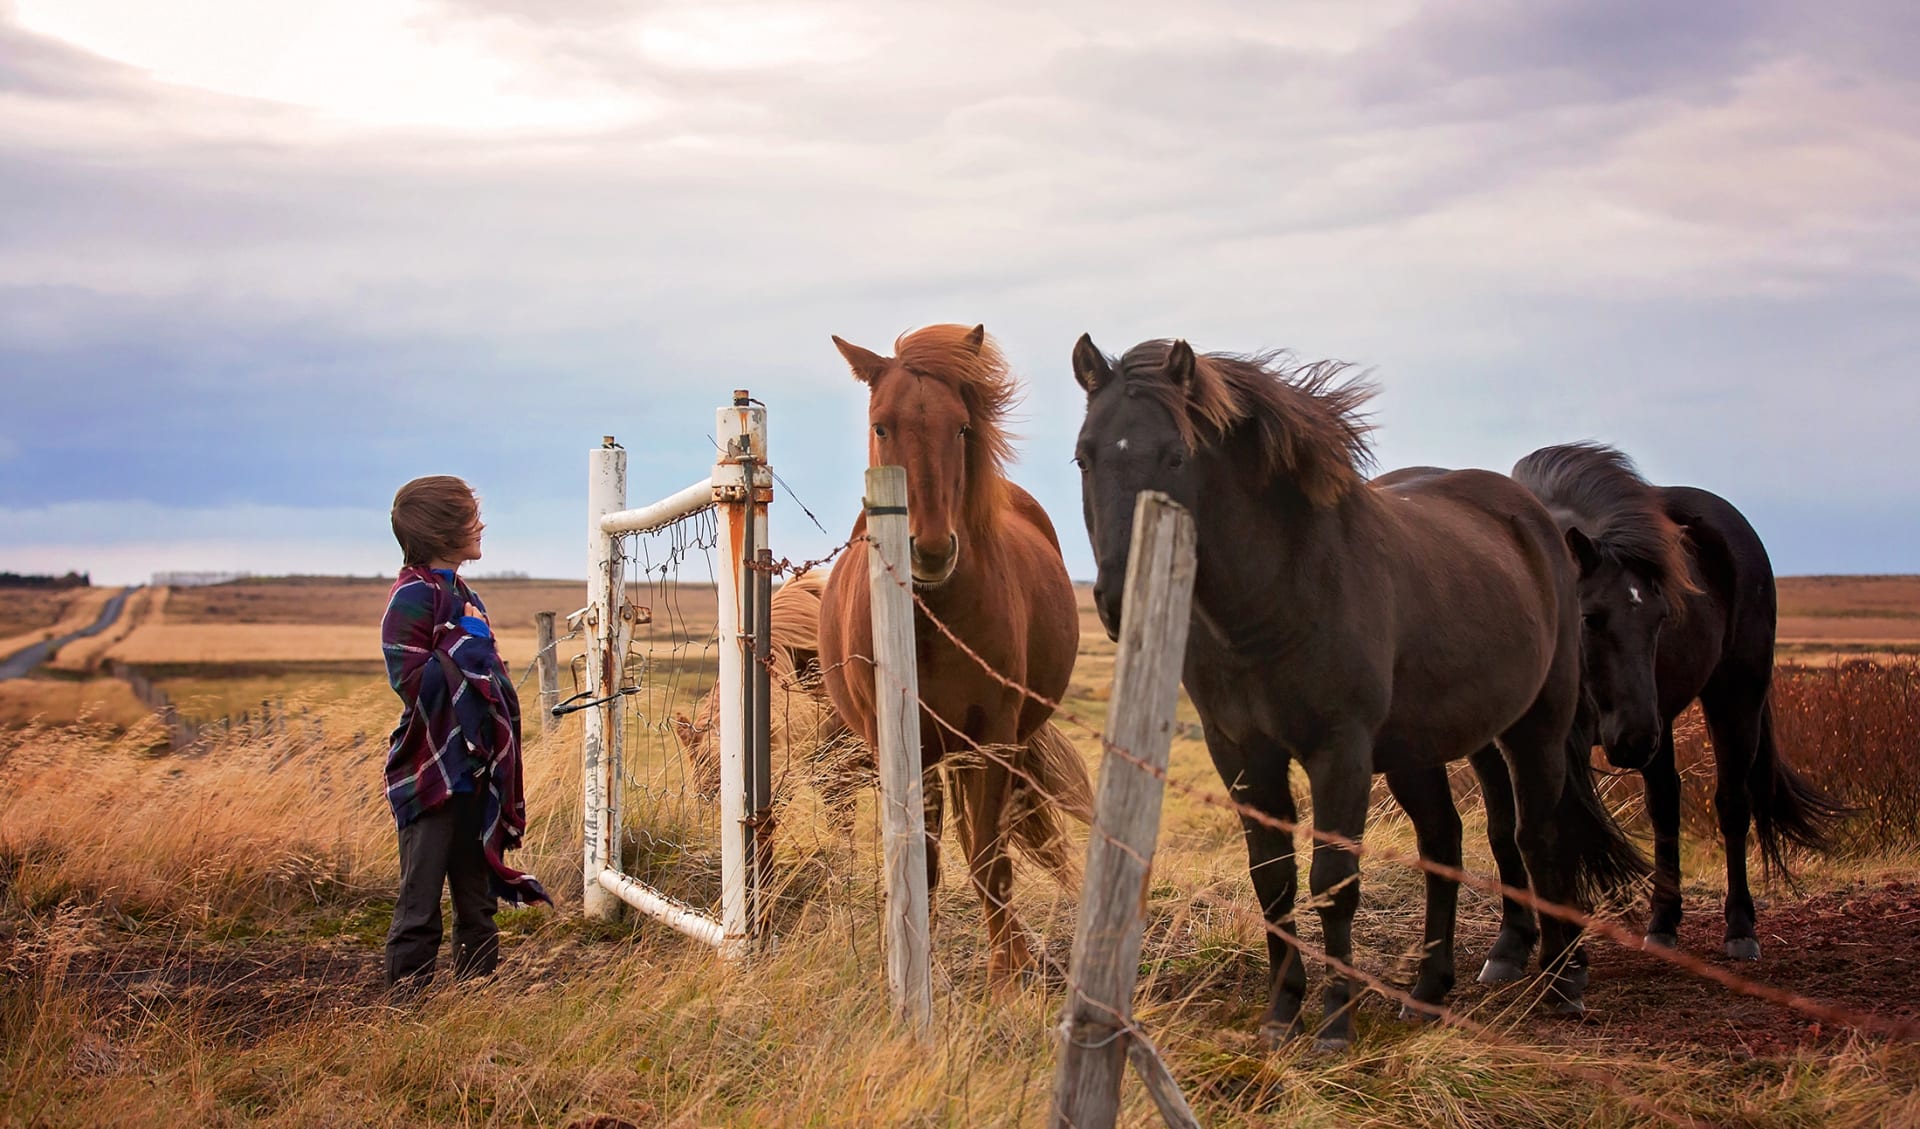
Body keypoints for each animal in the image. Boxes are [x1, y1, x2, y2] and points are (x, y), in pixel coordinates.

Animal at [818, 323, 1094, 986]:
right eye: (881, 425)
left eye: (962, 428)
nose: (932, 549)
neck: (932, 619)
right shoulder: (901, 742)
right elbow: (923, 857)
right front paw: (916, 960)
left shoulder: (992, 736)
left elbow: (989, 857)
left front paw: (1006, 973)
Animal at [1071, 336, 1646, 1048]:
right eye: (1085, 456)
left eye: (1175, 456)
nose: (1120, 600)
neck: (1273, 599)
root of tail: (1532, 517)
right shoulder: (1240, 754)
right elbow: (1274, 879)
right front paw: (1281, 1015)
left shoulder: (1338, 752)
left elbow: (1334, 881)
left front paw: (1335, 1023)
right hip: (1421, 748)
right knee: (1444, 844)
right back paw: (1429, 991)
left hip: (1535, 727)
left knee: (1540, 835)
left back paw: (1563, 978)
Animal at [1512, 442, 1847, 958]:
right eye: (1589, 618)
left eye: (1661, 617)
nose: (1631, 738)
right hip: (1663, 720)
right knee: (1666, 803)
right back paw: (1663, 922)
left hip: (1730, 700)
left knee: (1732, 804)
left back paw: (1740, 929)